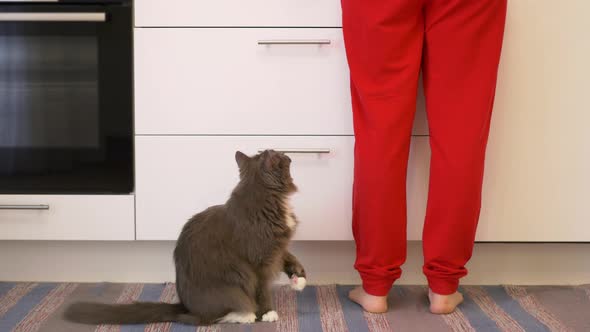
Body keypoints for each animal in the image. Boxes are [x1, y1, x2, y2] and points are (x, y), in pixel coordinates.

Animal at [63, 150, 308, 324]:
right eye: (279, 154)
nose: (286, 153)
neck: (267, 199)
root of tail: (184, 304)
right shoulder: (260, 261)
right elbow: (262, 290)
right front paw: (268, 313)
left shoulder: (278, 247)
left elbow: (289, 257)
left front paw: (299, 278)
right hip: (233, 285)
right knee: (200, 319)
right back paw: (244, 315)